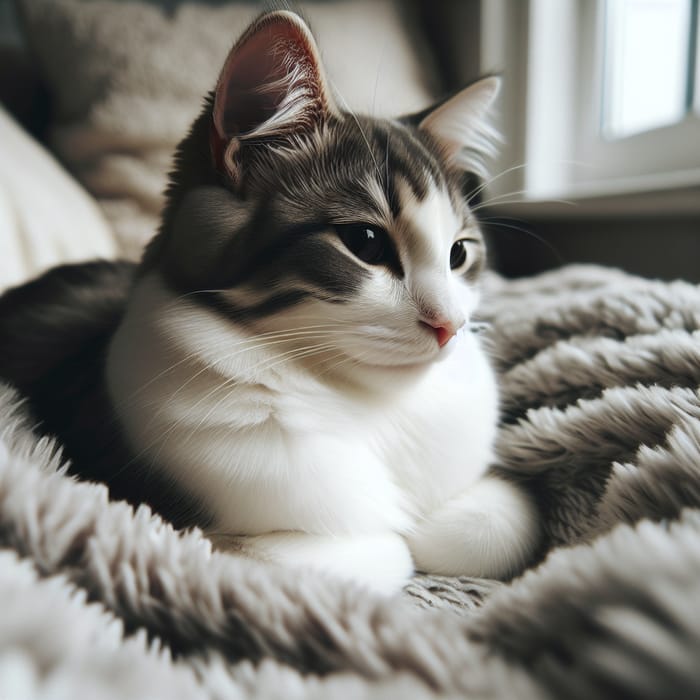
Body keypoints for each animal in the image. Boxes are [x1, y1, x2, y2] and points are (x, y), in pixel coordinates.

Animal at [0, 10, 540, 592]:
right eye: (366, 243)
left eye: (458, 254)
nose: (450, 325)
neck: (371, 402)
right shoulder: (162, 521)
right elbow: (376, 549)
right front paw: (399, 535)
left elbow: (501, 523)